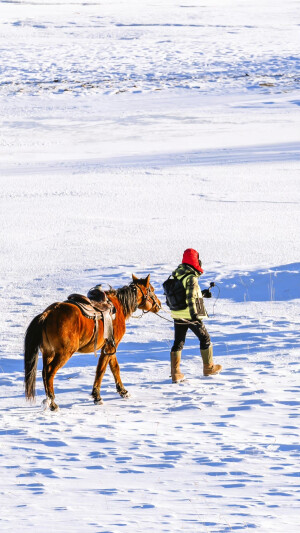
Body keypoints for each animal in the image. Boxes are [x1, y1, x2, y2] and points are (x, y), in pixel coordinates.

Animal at [24, 274, 162, 412]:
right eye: (152, 290)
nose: (159, 304)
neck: (119, 307)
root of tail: (47, 314)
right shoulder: (110, 346)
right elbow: (101, 370)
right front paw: (97, 396)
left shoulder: (110, 346)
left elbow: (115, 368)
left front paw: (122, 391)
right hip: (64, 353)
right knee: (49, 373)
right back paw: (52, 403)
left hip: (48, 353)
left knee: (44, 373)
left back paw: (48, 401)